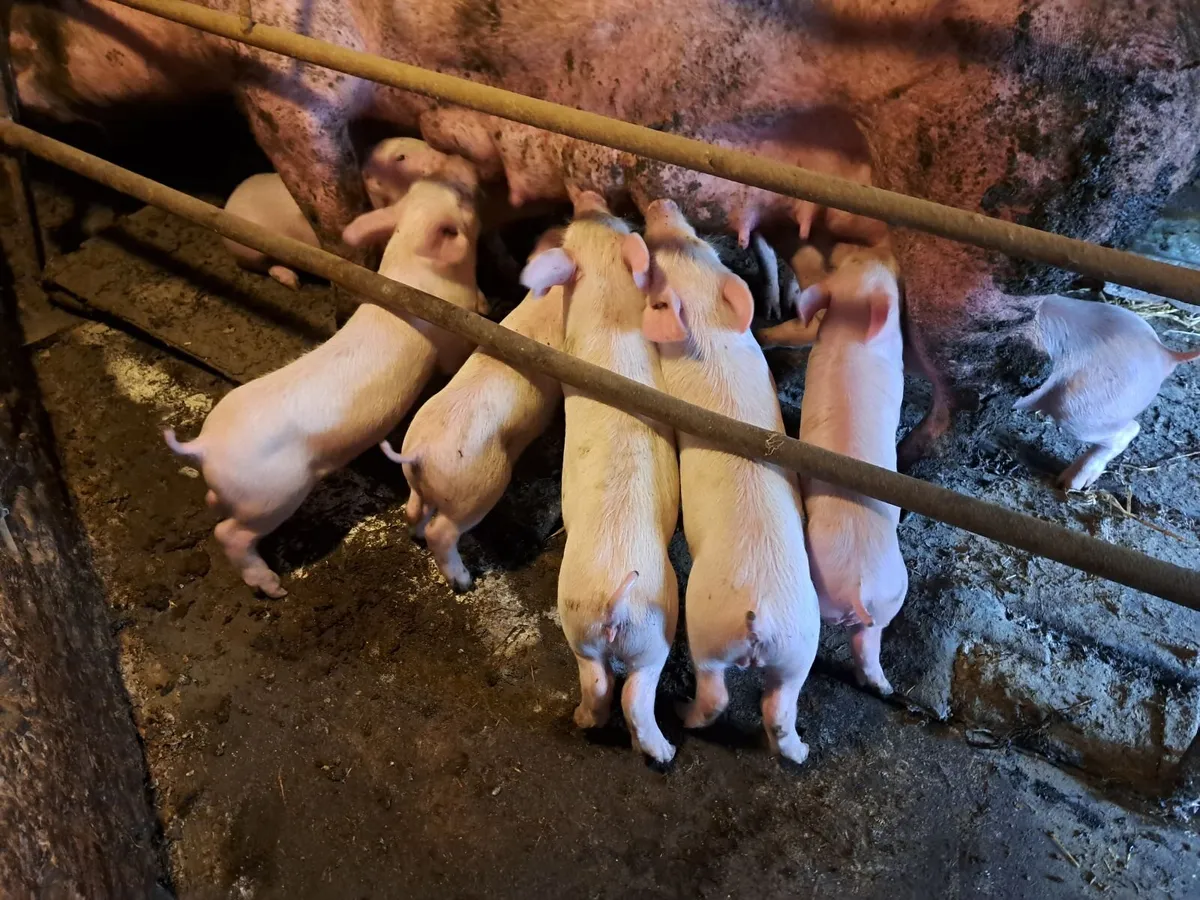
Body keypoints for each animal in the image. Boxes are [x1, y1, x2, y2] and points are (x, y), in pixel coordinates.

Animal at [163, 173, 487, 597]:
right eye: (461, 201)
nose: (472, 180)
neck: (415, 260)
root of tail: (204, 447)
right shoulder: (449, 334)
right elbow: (455, 357)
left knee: (215, 504)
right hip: (272, 496)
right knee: (229, 534)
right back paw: (274, 588)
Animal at [379, 227, 567, 592]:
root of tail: (420, 452)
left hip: (420, 484)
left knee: (413, 509)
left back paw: (416, 535)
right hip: (477, 489)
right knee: (442, 532)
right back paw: (463, 582)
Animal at [519, 191, 680, 764]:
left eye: (613, 223)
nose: (587, 198)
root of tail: (614, 597)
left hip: (580, 623)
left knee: (598, 683)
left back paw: (585, 723)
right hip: (654, 629)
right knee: (631, 692)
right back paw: (663, 753)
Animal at [641, 199, 820, 763]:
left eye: (658, 274)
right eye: (702, 247)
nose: (659, 204)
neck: (706, 327)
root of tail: (759, 616)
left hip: (705, 624)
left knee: (716, 694)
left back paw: (681, 714)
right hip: (800, 646)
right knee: (780, 710)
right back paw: (802, 752)